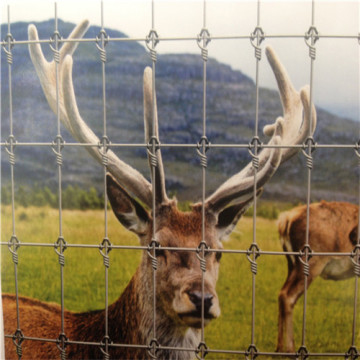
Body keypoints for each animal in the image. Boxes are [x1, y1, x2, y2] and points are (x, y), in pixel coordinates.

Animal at [276, 201, 358, 352]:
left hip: (291, 264)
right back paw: (290, 349)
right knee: (288, 295)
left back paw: (279, 348)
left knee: (281, 293)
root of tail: (286, 219)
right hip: (311, 264)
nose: (353, 236)